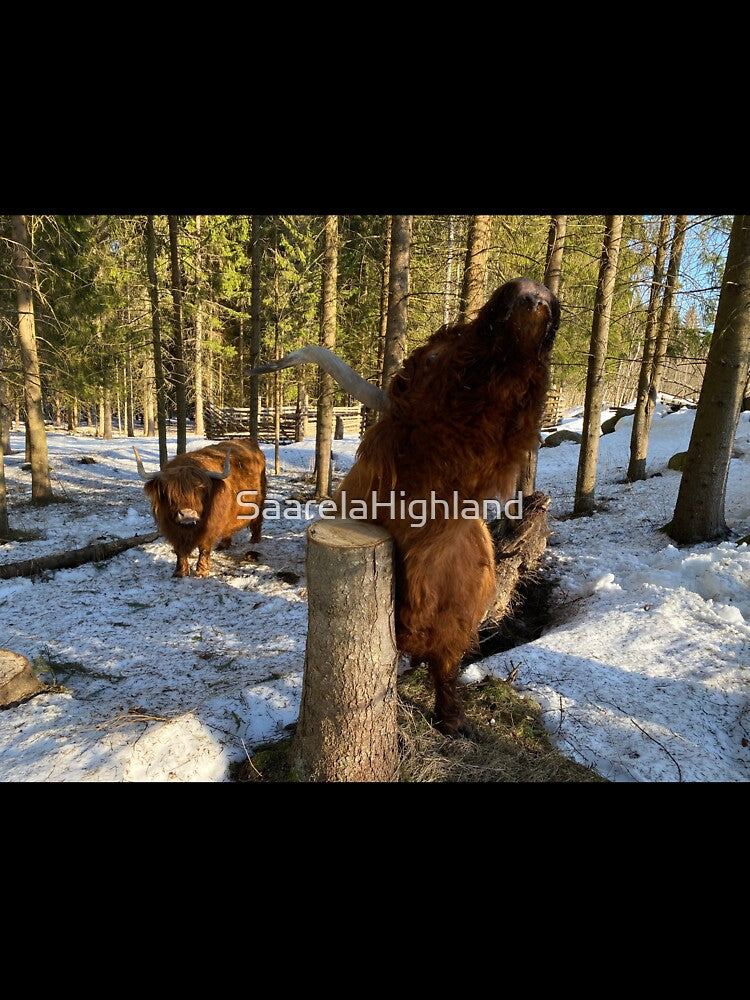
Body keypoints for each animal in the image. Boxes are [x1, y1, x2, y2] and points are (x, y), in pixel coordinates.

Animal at [134, 439, 267, 578]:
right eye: (170, 492)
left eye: (200, 490)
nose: (187, 514)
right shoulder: (172, 529)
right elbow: (179, 550)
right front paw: (180, 571)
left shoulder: (211, 526)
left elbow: (204, 547)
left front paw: (202, 571)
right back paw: (224, 544)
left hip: (259, 501)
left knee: (257, 520)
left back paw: (254, 540)